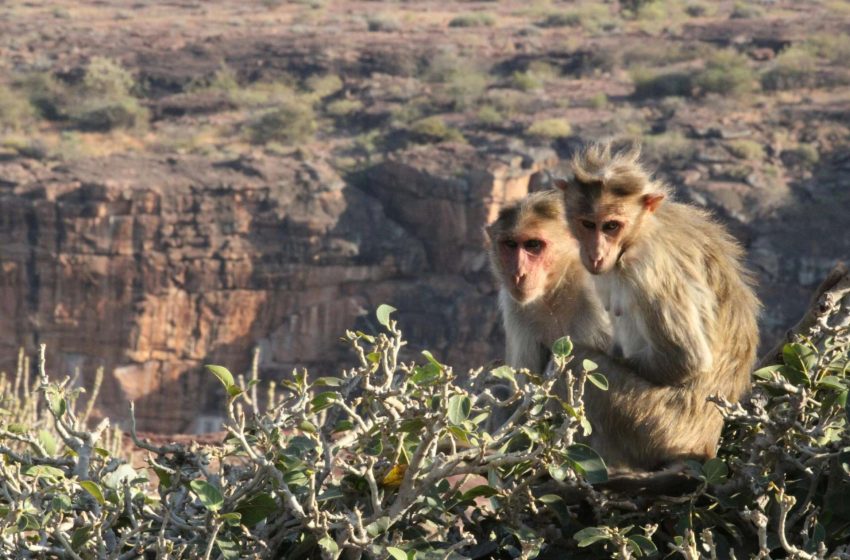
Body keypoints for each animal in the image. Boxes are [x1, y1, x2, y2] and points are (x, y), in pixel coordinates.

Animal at [552, 142, 760, 470]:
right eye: (587, 224)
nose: (596, 254)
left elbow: (685, 359)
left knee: (577, 362)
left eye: (611, 226)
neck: (639, 233)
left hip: (657, 425)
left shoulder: (648, 268)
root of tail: (705, 446)